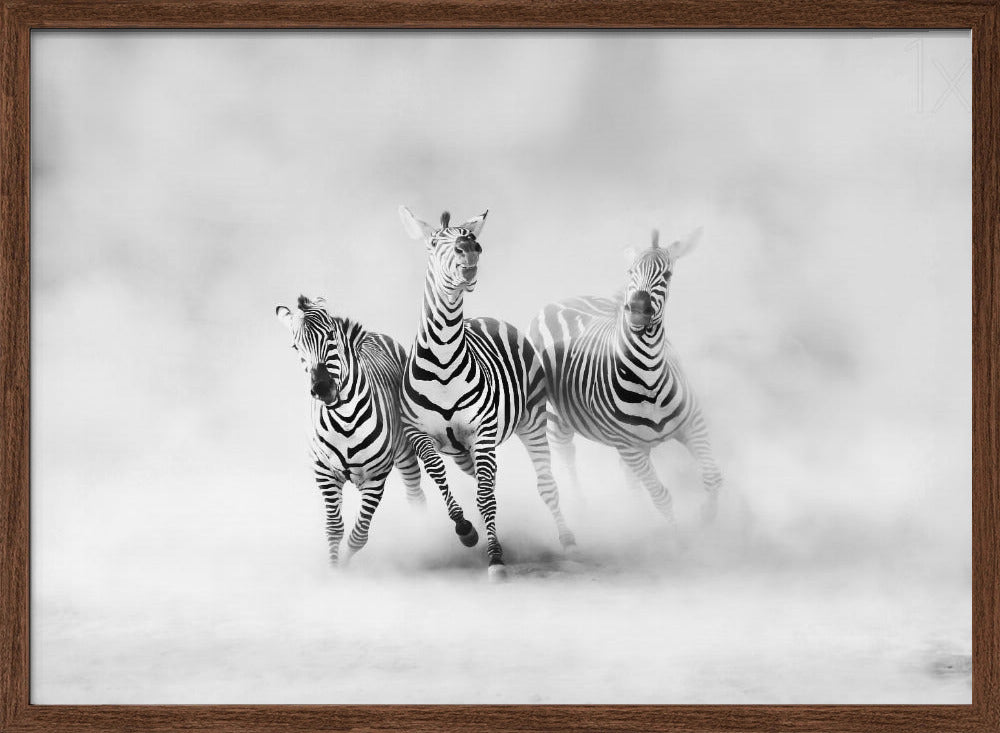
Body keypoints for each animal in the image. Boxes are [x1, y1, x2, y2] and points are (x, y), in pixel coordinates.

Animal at [276, 295, 478, 567]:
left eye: (331, 335)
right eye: (296, 348)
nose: (322, 388)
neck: (345, 420)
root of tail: (373, 334)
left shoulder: (375, 477)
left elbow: (359, 535)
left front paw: (345, 564)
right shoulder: (324, 473)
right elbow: (334, 528)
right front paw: (334, 569)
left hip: (405, 454)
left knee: (416, 496)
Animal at [398, 206, 576, 580]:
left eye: (471, 238)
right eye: (433, 242)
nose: (470, 249)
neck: (443, 359)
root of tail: (488, 318)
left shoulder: (481, 433)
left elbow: (484, 497)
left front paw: (495, 557)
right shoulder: (420, 435)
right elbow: (441, 478)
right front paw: (466, 530)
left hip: (531, 421)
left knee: (545, 483)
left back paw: (567, 540)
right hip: (463, 451)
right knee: (487, 480)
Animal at [528, 228, 723, 528]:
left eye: (667, 275)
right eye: (631, 271)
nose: (638, 308)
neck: (649, 376)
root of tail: (561, 301)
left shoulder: (692, 423)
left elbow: (712, 477)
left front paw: (708, 518)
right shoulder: (628, 445)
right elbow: (661, 496)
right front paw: (680, 536)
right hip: (556, 416)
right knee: (566, 454)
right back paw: (582, 508)